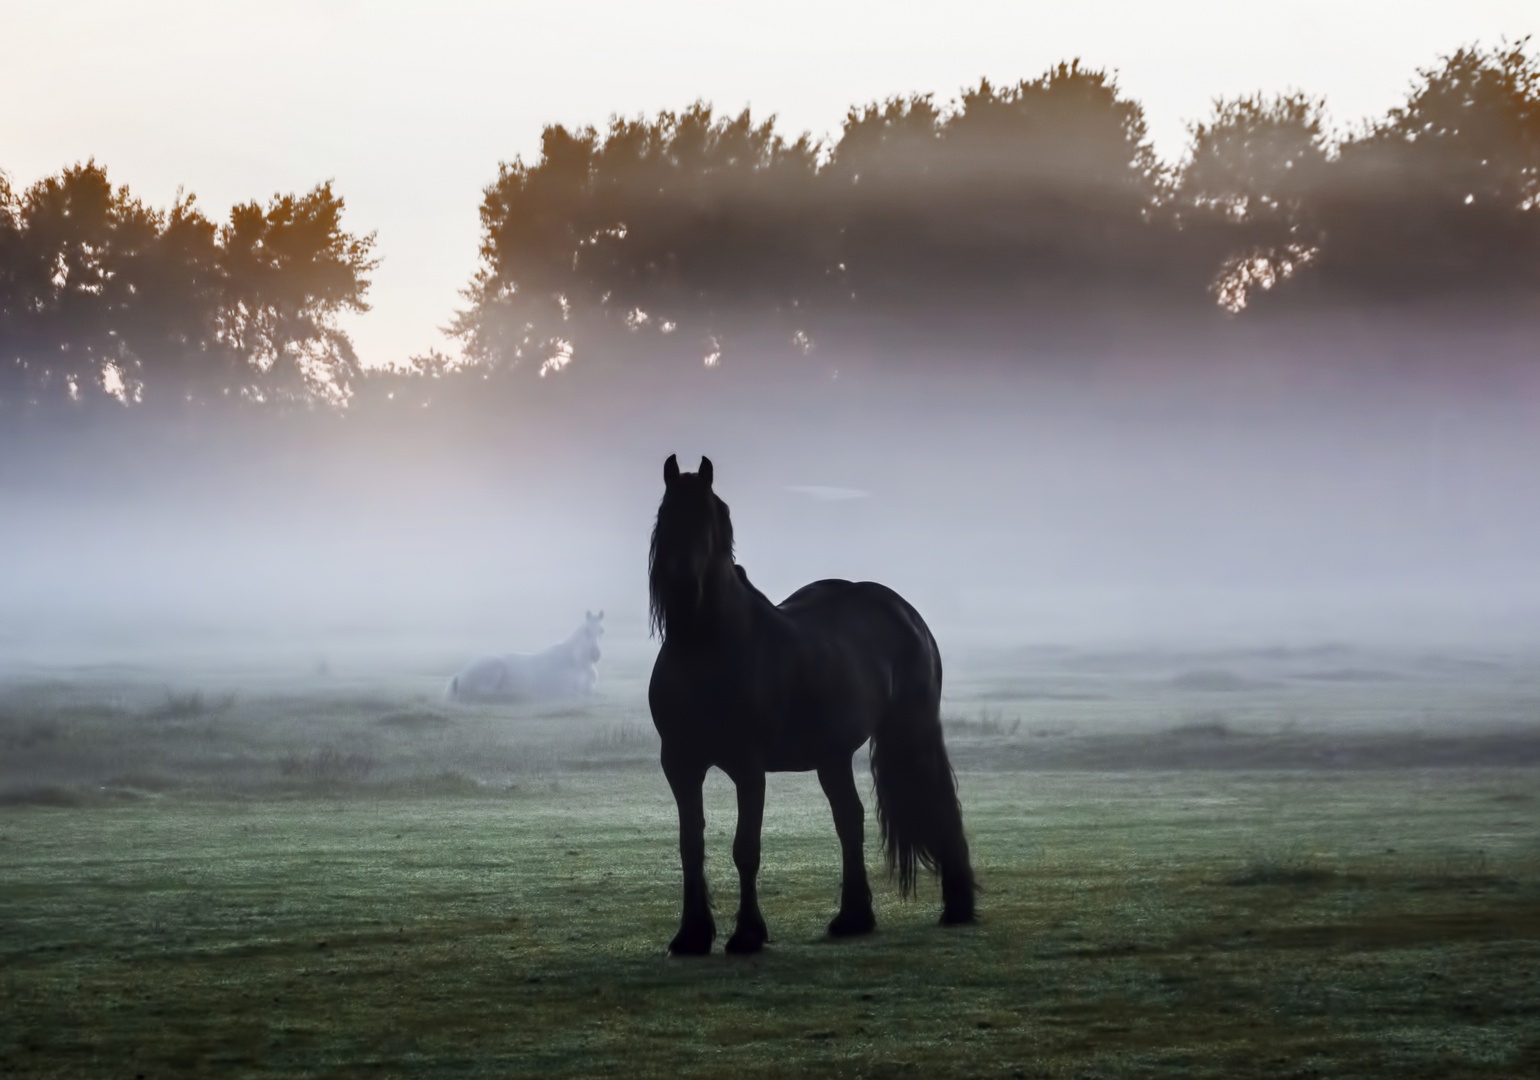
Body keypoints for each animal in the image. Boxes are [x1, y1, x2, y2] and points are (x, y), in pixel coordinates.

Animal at [446, 610, 600, 702]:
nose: (596, 654)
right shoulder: (563, 690)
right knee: (485, 695)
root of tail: (459, 674)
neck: (577, 664)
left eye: (601, 630)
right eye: (586, 630)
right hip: (494, 668)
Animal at [646, 452, 973, 949]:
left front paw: (747, 935)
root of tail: (905, 613)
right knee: (849, 819)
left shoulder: (748, 767)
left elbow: (746, 848)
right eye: (666, 515)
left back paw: (957, 908)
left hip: (910, 734)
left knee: (937, 803)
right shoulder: (680, 765)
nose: (683, 585)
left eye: (708, 519)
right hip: (832, 756)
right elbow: (690, 846)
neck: (708, 647)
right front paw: (691, 936)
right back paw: (853, 918)